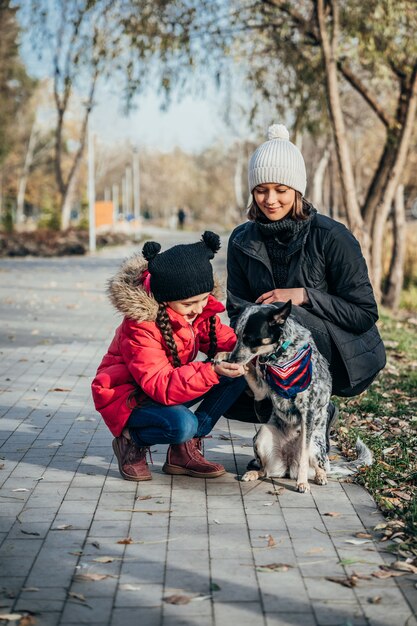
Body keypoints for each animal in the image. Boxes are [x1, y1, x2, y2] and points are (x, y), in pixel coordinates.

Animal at [224, 300, 370, 490]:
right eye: (237, 335)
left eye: (249, 339)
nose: (232, 360)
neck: (280, 357)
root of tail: (288, 467)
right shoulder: (261, 391)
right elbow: (249, 367)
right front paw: (222, 356)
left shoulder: (308, 411)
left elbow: (303, 456)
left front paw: (302, 483)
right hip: (262, 434)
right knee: (265, 470)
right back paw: (254, 473)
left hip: (315, 445)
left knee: (319, 466)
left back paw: (319, 476)